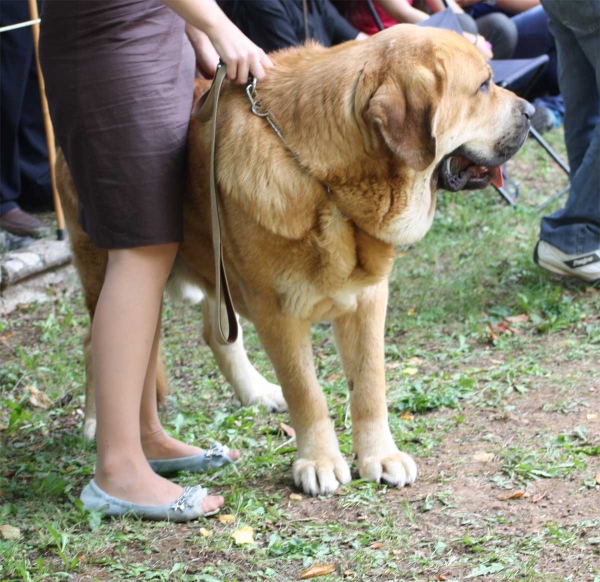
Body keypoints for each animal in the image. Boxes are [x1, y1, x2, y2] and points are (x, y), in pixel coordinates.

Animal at [57, 25, 536, 496]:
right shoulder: (278, 314)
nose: (531, 110)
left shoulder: (368, 300)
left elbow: (370, 386)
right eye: (483, 86)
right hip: (116, 271)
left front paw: (380, 456)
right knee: (98, 342)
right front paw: (319, 462)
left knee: (217, 335)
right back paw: (96, 422)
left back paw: (254, 393)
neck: (329, 186)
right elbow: (307, 394)